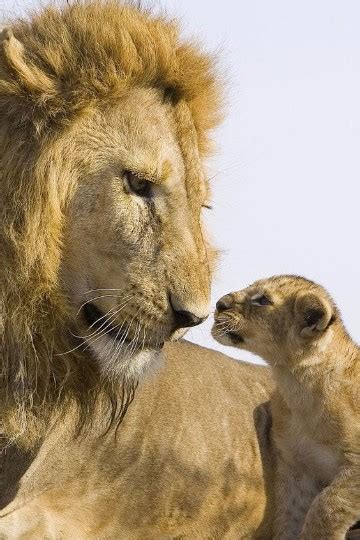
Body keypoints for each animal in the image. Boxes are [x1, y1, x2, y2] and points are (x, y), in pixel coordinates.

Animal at [212, 276, 360, 536]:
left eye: (262, 300)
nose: (220, 303)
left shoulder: (355, 467)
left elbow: (327, 504)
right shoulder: (296, 466)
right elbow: (290, 515)